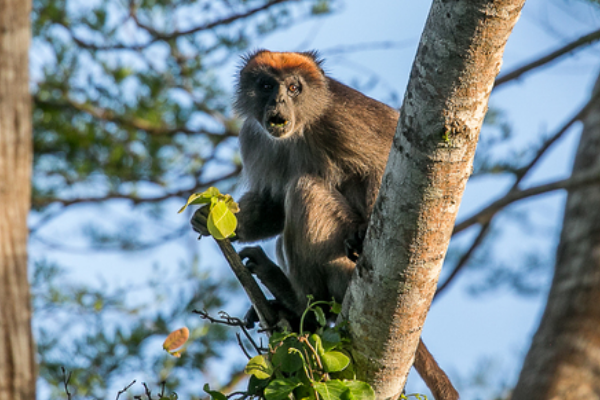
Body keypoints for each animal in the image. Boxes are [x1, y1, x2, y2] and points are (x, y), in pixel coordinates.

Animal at [192, 50, 460, 400]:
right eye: (266, 85)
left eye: (294, 88)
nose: (278, 100)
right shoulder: (254, 138)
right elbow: (272, 204)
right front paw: (213, 221)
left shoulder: (340, 118)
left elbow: (387, 160)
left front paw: (362, 232)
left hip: (341, 263)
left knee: (304, 189)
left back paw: (300, 304)